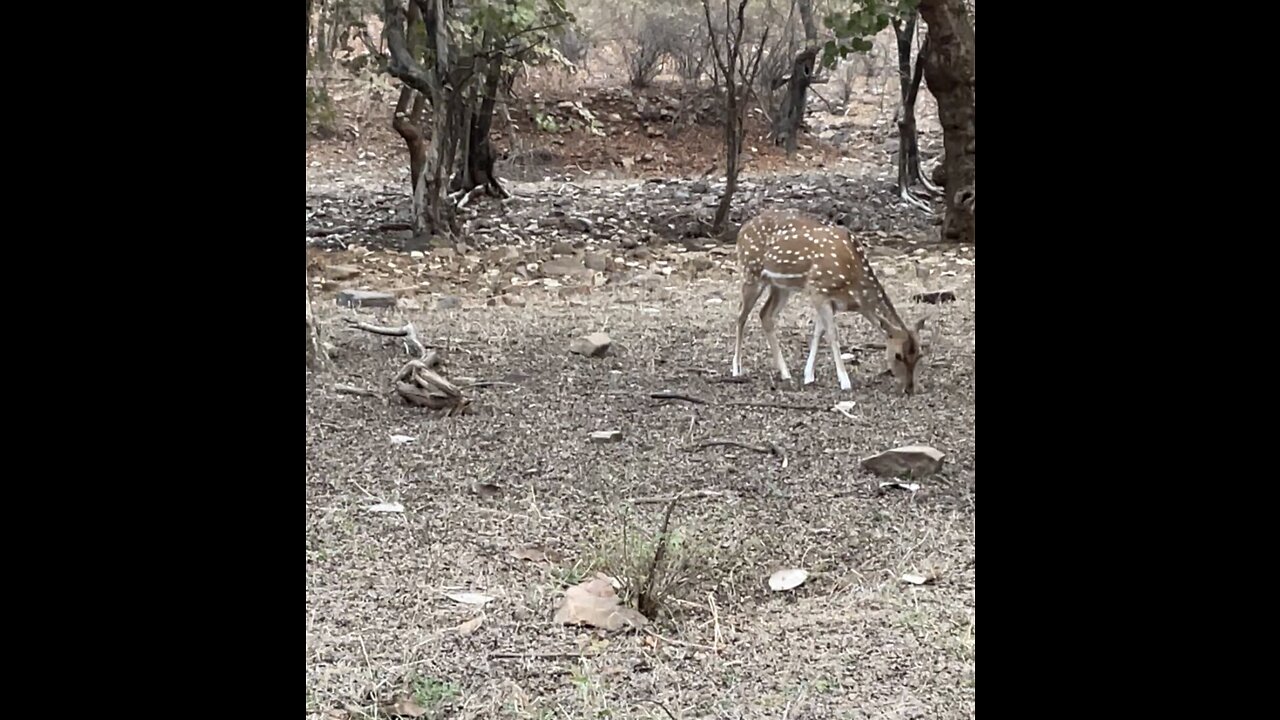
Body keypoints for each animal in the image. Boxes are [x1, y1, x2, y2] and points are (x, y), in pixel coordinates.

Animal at [732, 207, 931, 392]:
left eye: (920, 354)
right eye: (897, 355)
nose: (910, 388)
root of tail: (742, 229)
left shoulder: (830, 301)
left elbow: (818, 332)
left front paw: (808, 375)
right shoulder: (818, 289)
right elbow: (832, 334)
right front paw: (844, 381)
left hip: (781, 286)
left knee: (765, 314)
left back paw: (785, 373)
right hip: (750, 273)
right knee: (741, 316)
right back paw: (736, 369)